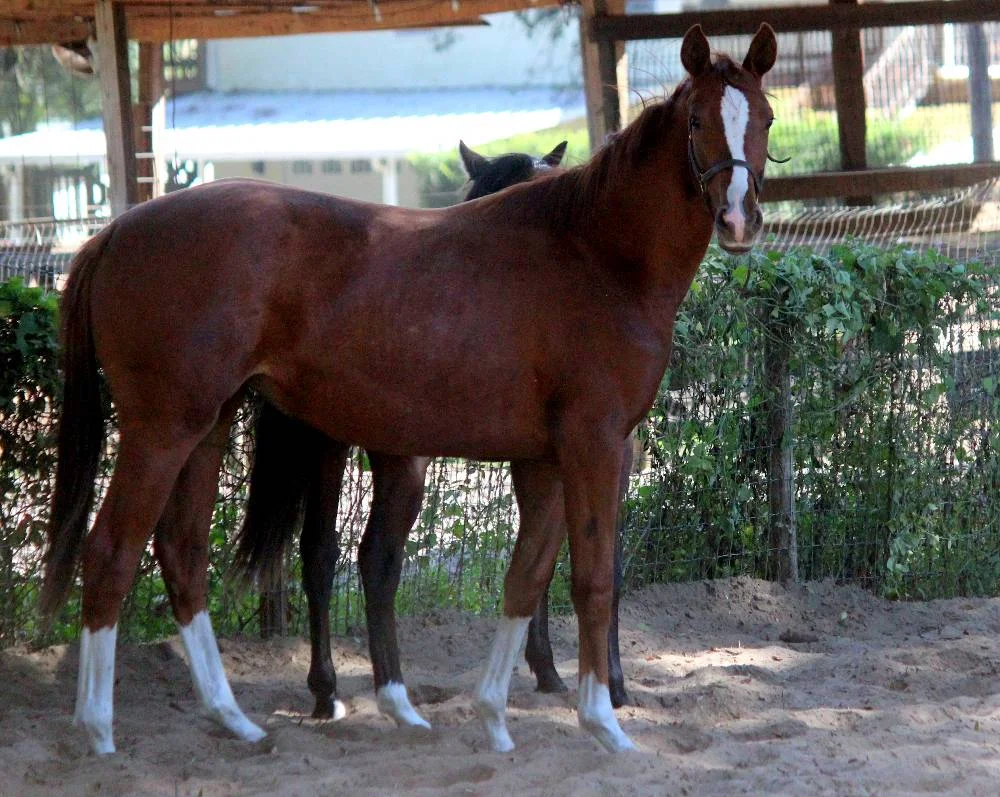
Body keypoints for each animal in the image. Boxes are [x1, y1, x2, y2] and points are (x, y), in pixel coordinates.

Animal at [232, 137, 636, 730]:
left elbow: (541, 558)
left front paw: (547, 668)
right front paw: (605, 681)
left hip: (327, 445)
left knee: (318, 555)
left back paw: (326, 691)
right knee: (368, 558)